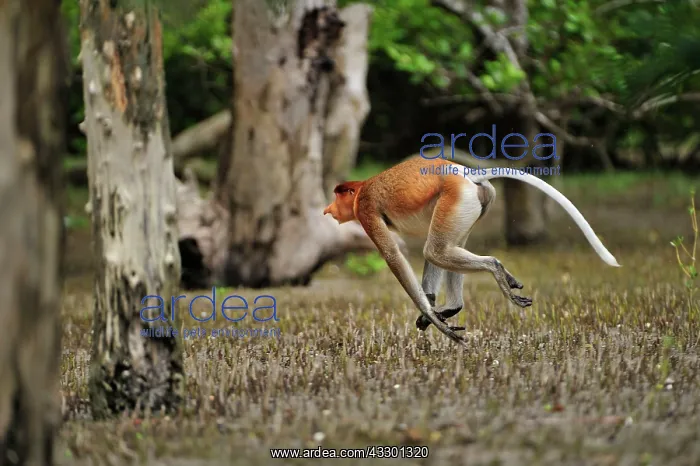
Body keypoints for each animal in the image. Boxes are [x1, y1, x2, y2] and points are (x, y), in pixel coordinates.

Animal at [323, 156, 620, 347]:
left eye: (339, 195)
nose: (328, 209)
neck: (363, 187)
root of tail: (465, 174)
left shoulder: (366, 208)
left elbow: (393, 256)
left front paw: (433, 317)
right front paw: (430, 311)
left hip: (455, 198)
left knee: (436, 250)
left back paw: (495, 270)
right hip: (469, 205)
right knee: (445, 248)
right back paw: (455, 305)